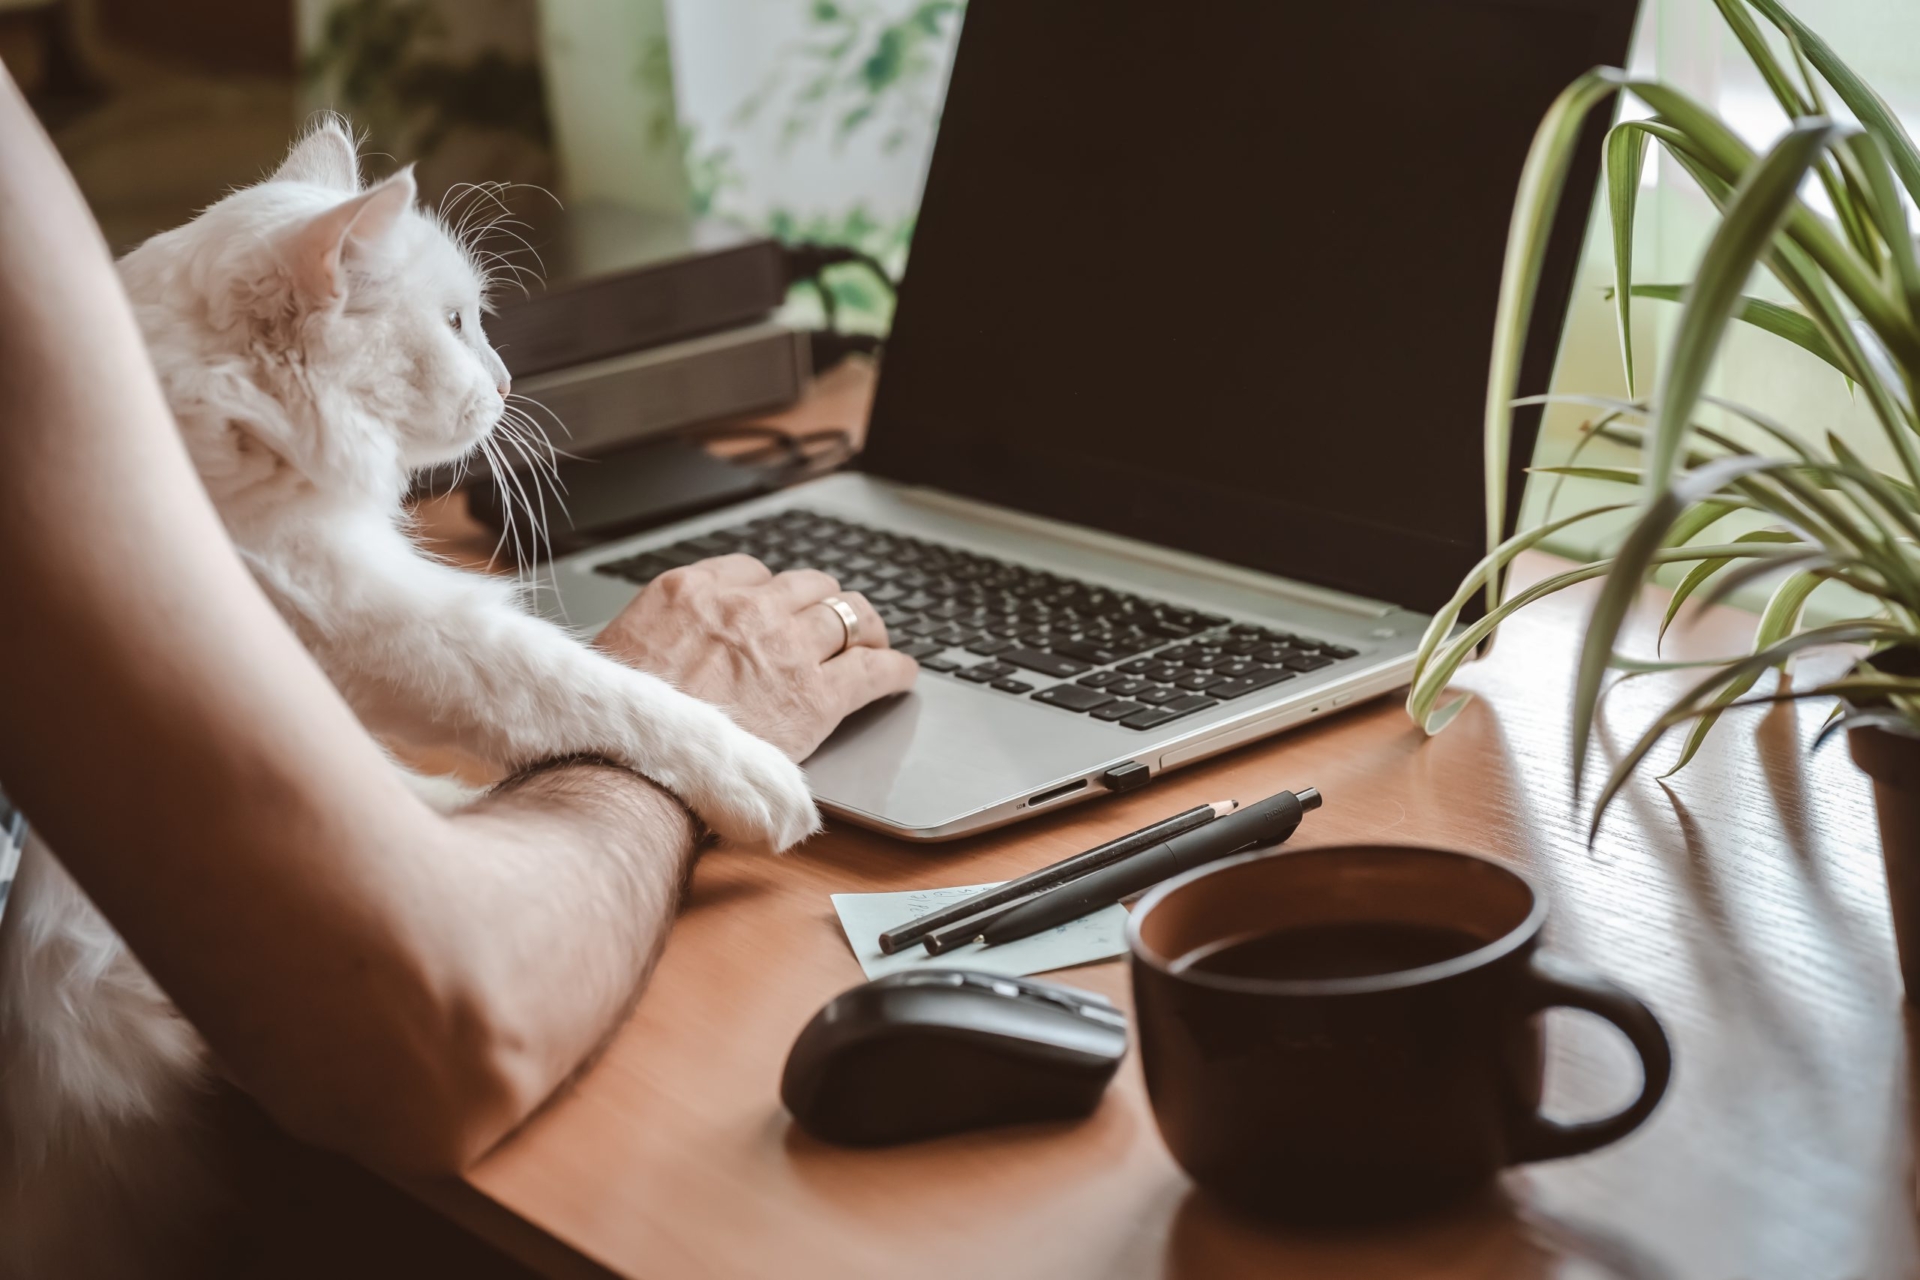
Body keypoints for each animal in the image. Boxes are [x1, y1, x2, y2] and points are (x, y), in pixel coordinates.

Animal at [0, 122, 817, 1280]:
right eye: (457, 323)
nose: (509, 377)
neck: (225, 425)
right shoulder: (378, 618)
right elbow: (585, 685)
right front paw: (755, 772)